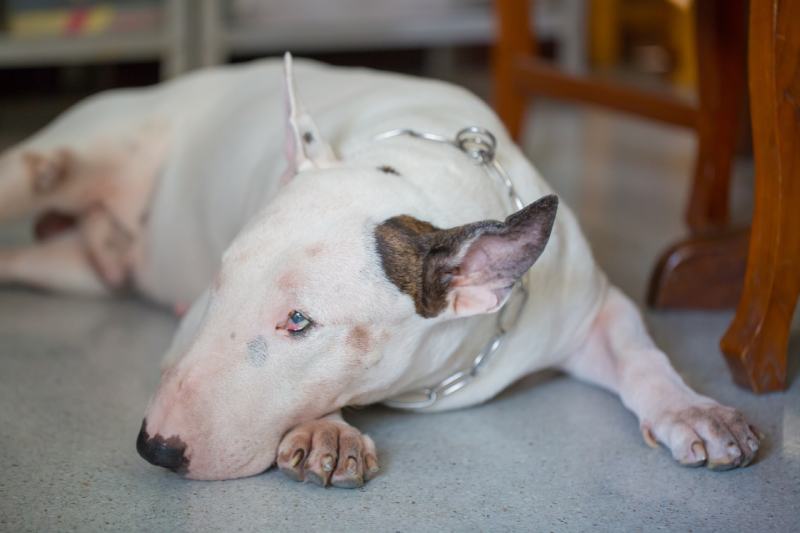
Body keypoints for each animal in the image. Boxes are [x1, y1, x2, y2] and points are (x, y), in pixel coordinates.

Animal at [0, 55, 760, 486]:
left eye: (300, 321)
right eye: (220, 283)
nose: (156, 448)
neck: (428, 173)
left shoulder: (594, 306)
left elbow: (639, 352)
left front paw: (695, 409)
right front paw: (328, 430)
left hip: (78, 269)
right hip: (59, 161)